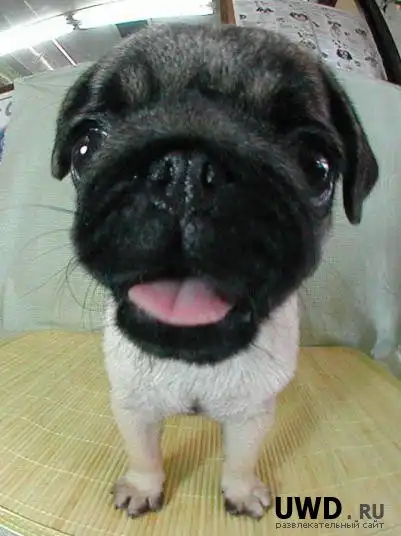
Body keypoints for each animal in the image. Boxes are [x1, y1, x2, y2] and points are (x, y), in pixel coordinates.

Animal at [51, 23, 378, 519]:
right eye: (87, 145)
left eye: (317, 165)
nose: (185, 169)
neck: (193, 359)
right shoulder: (132, 405)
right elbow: (143, 454)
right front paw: (143, 487)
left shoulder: (252, 414)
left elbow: (241, 460)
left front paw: (240, 492)